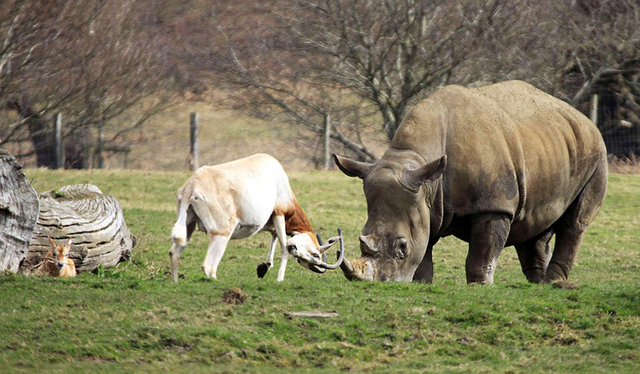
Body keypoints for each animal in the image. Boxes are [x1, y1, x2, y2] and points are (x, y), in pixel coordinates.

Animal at [168, 153, 342, 282]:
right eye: (316, 255)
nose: (294, 248)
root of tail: (191, 186)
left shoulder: (272, 224)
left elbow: (274, 238)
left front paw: (264, 267)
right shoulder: (279, 214)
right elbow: (283, 248)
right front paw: (279, 279)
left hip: (189, 226)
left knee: (174, 253)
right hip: (221, 234)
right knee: (209, 266)